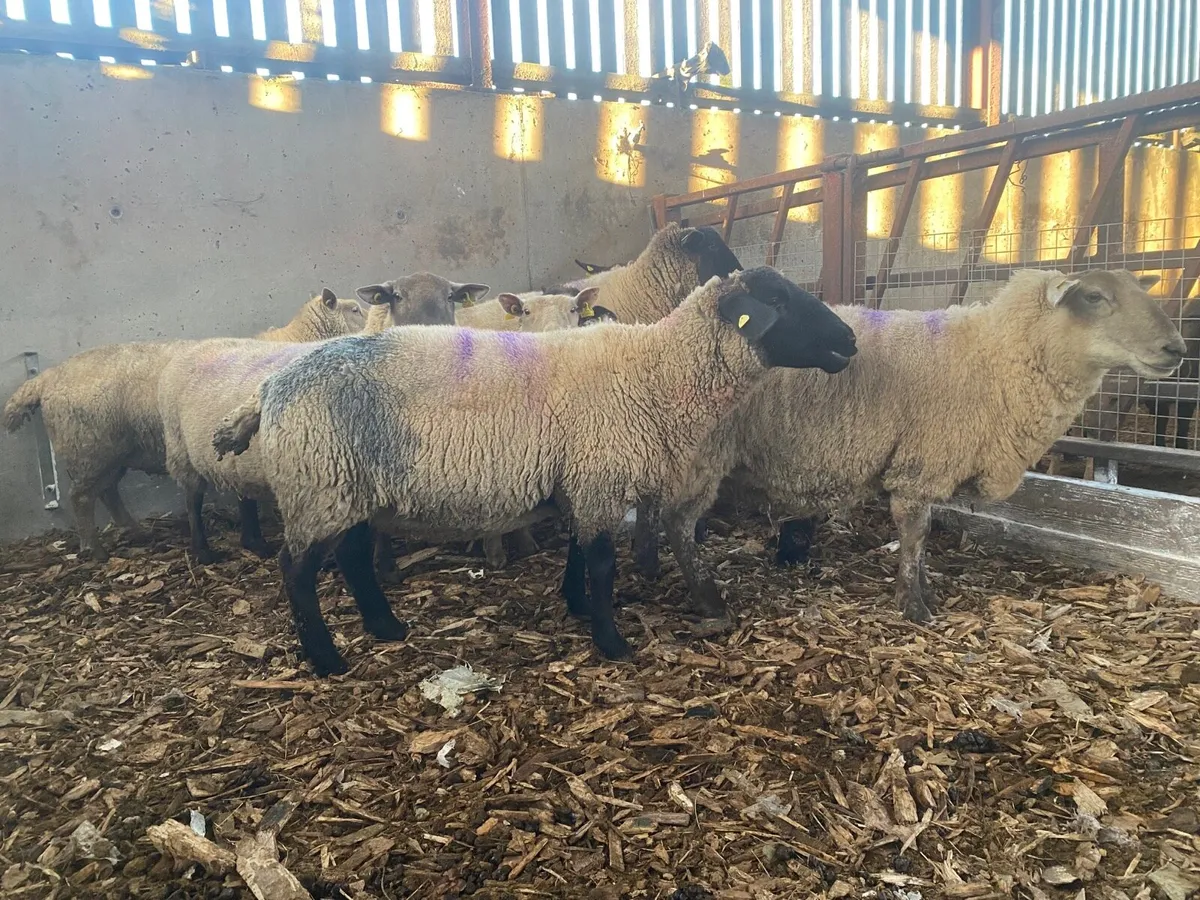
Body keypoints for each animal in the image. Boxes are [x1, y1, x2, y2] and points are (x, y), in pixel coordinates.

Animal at [2, 289, 364, 561]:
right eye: (356, 309)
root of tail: (46, 378)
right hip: (89, 448)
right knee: (81, 497)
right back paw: (95, 549)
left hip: (113, 452)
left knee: (107, 490)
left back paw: (135, 530)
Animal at [210, 267, 859, 676]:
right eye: (782, 302)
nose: (850, 339)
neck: (656, 371)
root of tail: (269, 388)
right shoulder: (600, 473)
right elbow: (602, 562)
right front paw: (611, 641)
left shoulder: (583, 478)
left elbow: (578, 551)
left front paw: (576, 604)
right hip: (318, 485)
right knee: (297, 572)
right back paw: (327, 660)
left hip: (349, 488)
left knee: (350, 557)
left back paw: (385, 627)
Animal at [633, 268, 1185, 626]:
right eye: (1094, 297)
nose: (1177, 349)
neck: (995, 357)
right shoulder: (921, 464)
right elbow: (915, 535)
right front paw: (914, 607)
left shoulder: (930, 465)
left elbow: (922, 539)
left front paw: (927, 593)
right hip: (703, 454)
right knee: (676, 520)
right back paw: (708, 600)